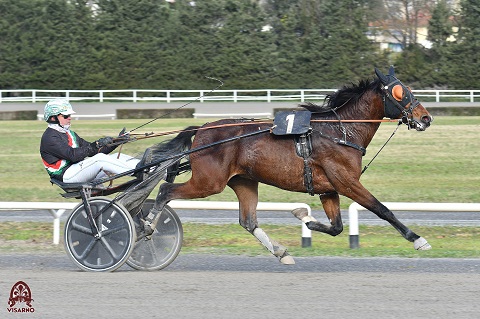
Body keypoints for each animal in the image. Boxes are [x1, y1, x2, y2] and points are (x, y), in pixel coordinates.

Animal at [142, 65, 432, 264]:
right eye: (400, 92)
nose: (426, 118)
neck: (340, 130)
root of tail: (202, 128)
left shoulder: (329, 188)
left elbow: (337, 227)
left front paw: (304, 216)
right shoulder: (346, 182)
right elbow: (382, 209)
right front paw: (418, 240)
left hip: (244, 181)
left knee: (248, 221)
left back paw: (281, 252)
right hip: (209, 181)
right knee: (166, 191)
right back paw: (148, 226)